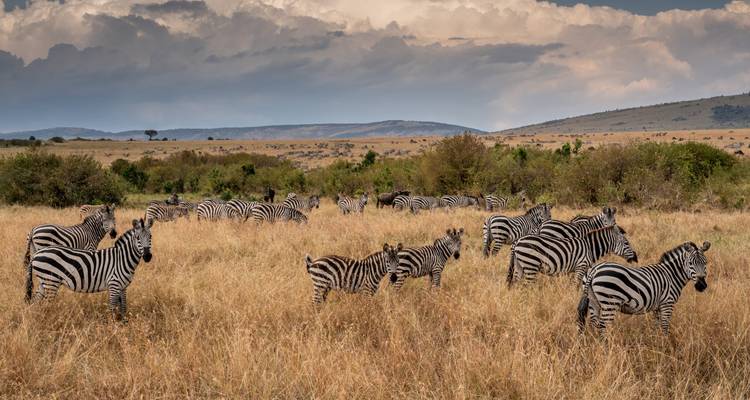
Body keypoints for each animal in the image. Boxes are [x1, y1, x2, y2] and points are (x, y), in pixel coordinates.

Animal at [507, 224, 638, 286]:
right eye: (626, 243)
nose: (636, 258)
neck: (590, 247)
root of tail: (518, 241)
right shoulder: (581, 266)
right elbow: (575, 285)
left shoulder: (582, 269)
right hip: (531, 264)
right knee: (527, 286)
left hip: (520, 265)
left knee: (516, 284)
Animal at [578, 241, 710, 335]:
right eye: (690, 263)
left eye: (705, 263)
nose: (701, 286)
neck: (671, 275)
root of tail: (594, 270)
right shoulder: (667, 303)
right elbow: (665, 326)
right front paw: (665, 346)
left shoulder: (657, 306)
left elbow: (656, 326)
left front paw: (656, 343)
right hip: (610, 302)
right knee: (602, 326)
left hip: (593, 302)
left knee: (593, 324)